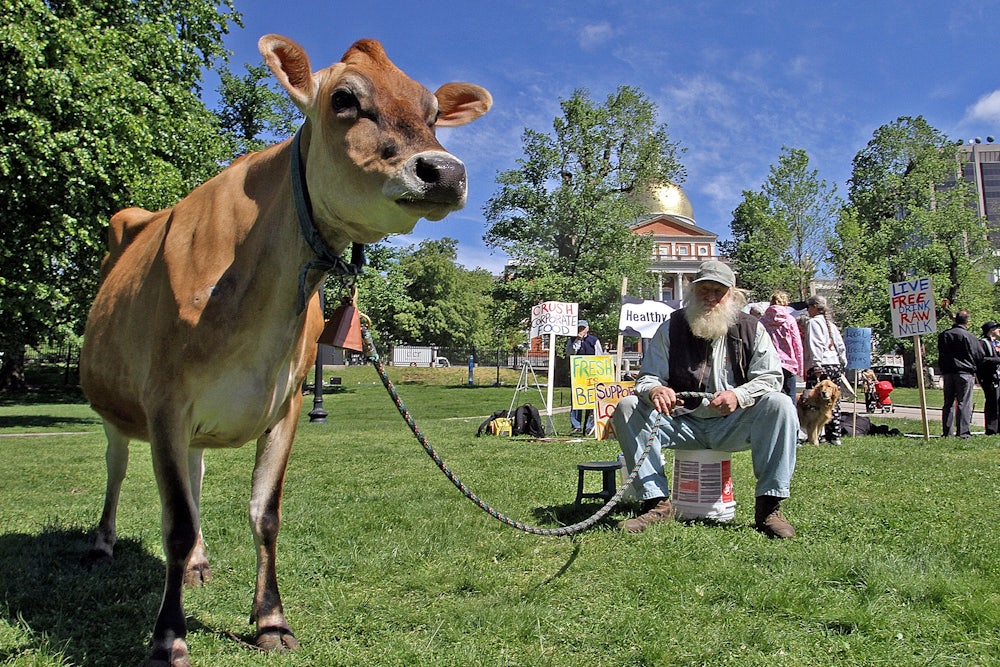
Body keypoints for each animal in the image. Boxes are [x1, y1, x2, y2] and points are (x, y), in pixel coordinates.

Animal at [79, 35, 491, 667]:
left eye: (433, 112)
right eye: (344, 99)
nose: (444, 170)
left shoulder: (286, 402)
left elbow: (264, 514)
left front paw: (270, 619)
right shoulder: (165, 401)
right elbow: (175, 523)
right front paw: (168, 637)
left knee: (194, 479)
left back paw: (197, 566)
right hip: (114, 407)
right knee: (118, 468)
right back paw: (103, 543)